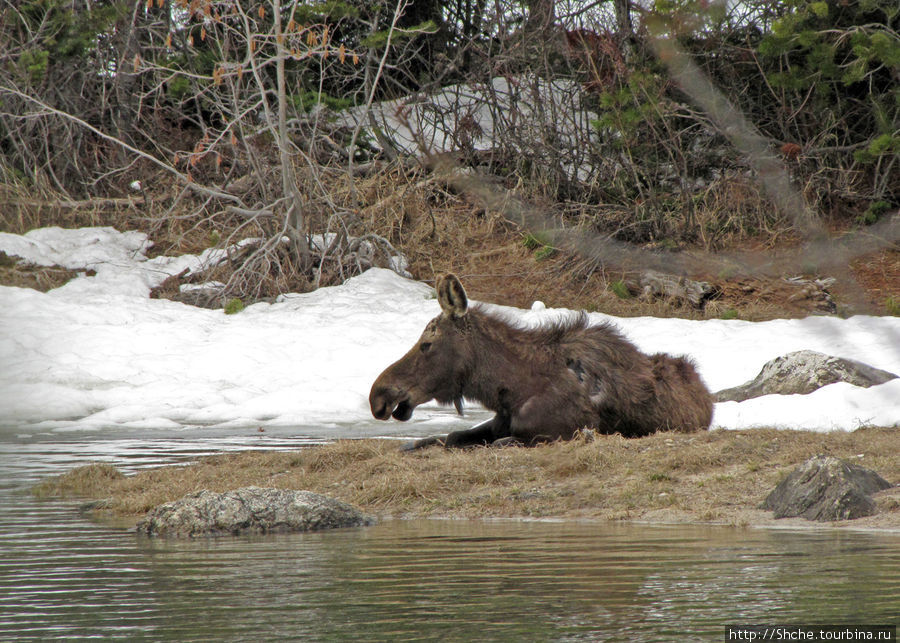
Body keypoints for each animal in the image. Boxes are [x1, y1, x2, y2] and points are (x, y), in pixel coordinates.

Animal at [370, 274, 712, 450]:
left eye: (426, 344)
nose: (379, 396)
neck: (509, 389)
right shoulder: (500, 421)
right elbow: (452, 437)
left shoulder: (557, 432)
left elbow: (499, 442)